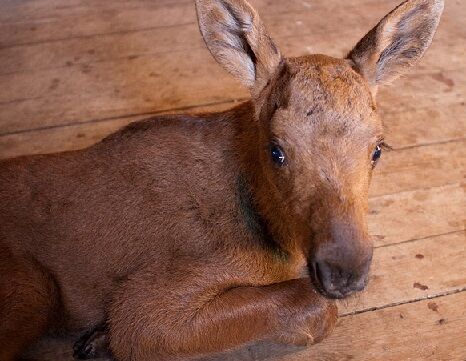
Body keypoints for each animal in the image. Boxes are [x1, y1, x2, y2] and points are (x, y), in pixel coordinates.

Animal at [0, 0, 442, 358]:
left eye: (378, 148)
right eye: (276, 149)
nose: (343, 270)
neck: (278, 238)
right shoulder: (141, 308)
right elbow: (315, 306)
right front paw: (103, 340)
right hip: (33, 290)